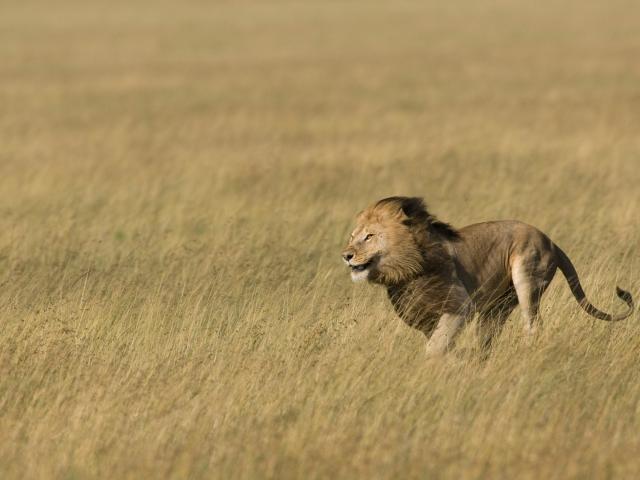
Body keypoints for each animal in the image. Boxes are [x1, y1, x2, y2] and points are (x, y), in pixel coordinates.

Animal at [341, 196, 634, 356]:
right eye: (352, 237)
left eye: (369, 236)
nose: (346, 255)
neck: (405, 274)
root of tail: (550, 240)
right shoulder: (424, 319)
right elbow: (440, 341)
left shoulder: (460, 305)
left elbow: (436, 346)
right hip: (497, 306)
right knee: (489, 338)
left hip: (527, 275)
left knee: (534, 325)